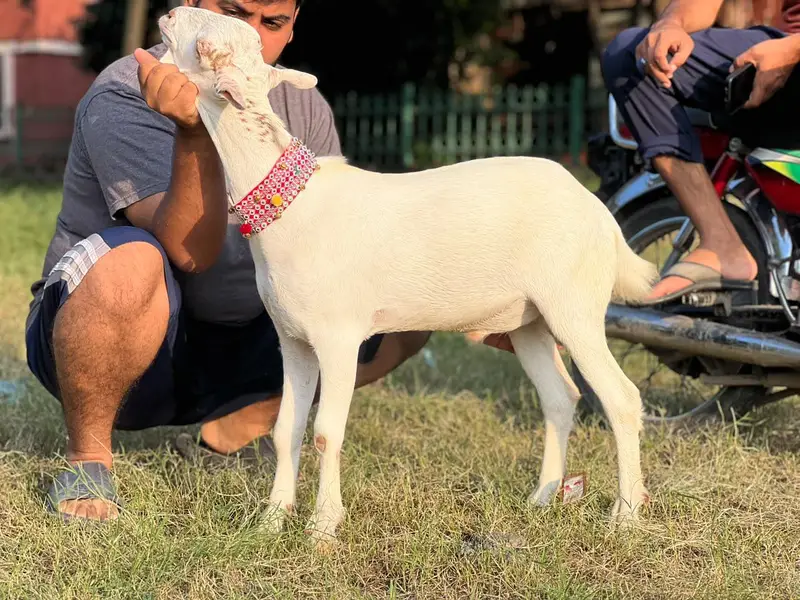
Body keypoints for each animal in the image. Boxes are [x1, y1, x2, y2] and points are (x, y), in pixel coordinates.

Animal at [158, 6, 657, 548]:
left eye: (205, 45)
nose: (170, 13)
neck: (293, 207)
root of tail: (600, 214)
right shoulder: (293, 338)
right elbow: (285, 426)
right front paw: (272, 520)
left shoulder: (338, 336)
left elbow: (326, 430)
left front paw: (322, 528)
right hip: (529, 321)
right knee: (561, 399)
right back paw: (543, 498)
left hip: (575, 305)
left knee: (621, 398)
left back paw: (626, 514)